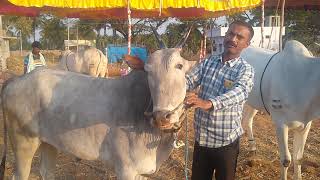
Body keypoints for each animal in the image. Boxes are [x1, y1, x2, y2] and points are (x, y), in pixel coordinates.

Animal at [241, 40, 318, 180]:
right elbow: (286, 160)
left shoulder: (306, 125)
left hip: (253, 103)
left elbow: (298, 158)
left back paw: (252, 147)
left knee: (247, 120)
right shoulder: (280, 124)